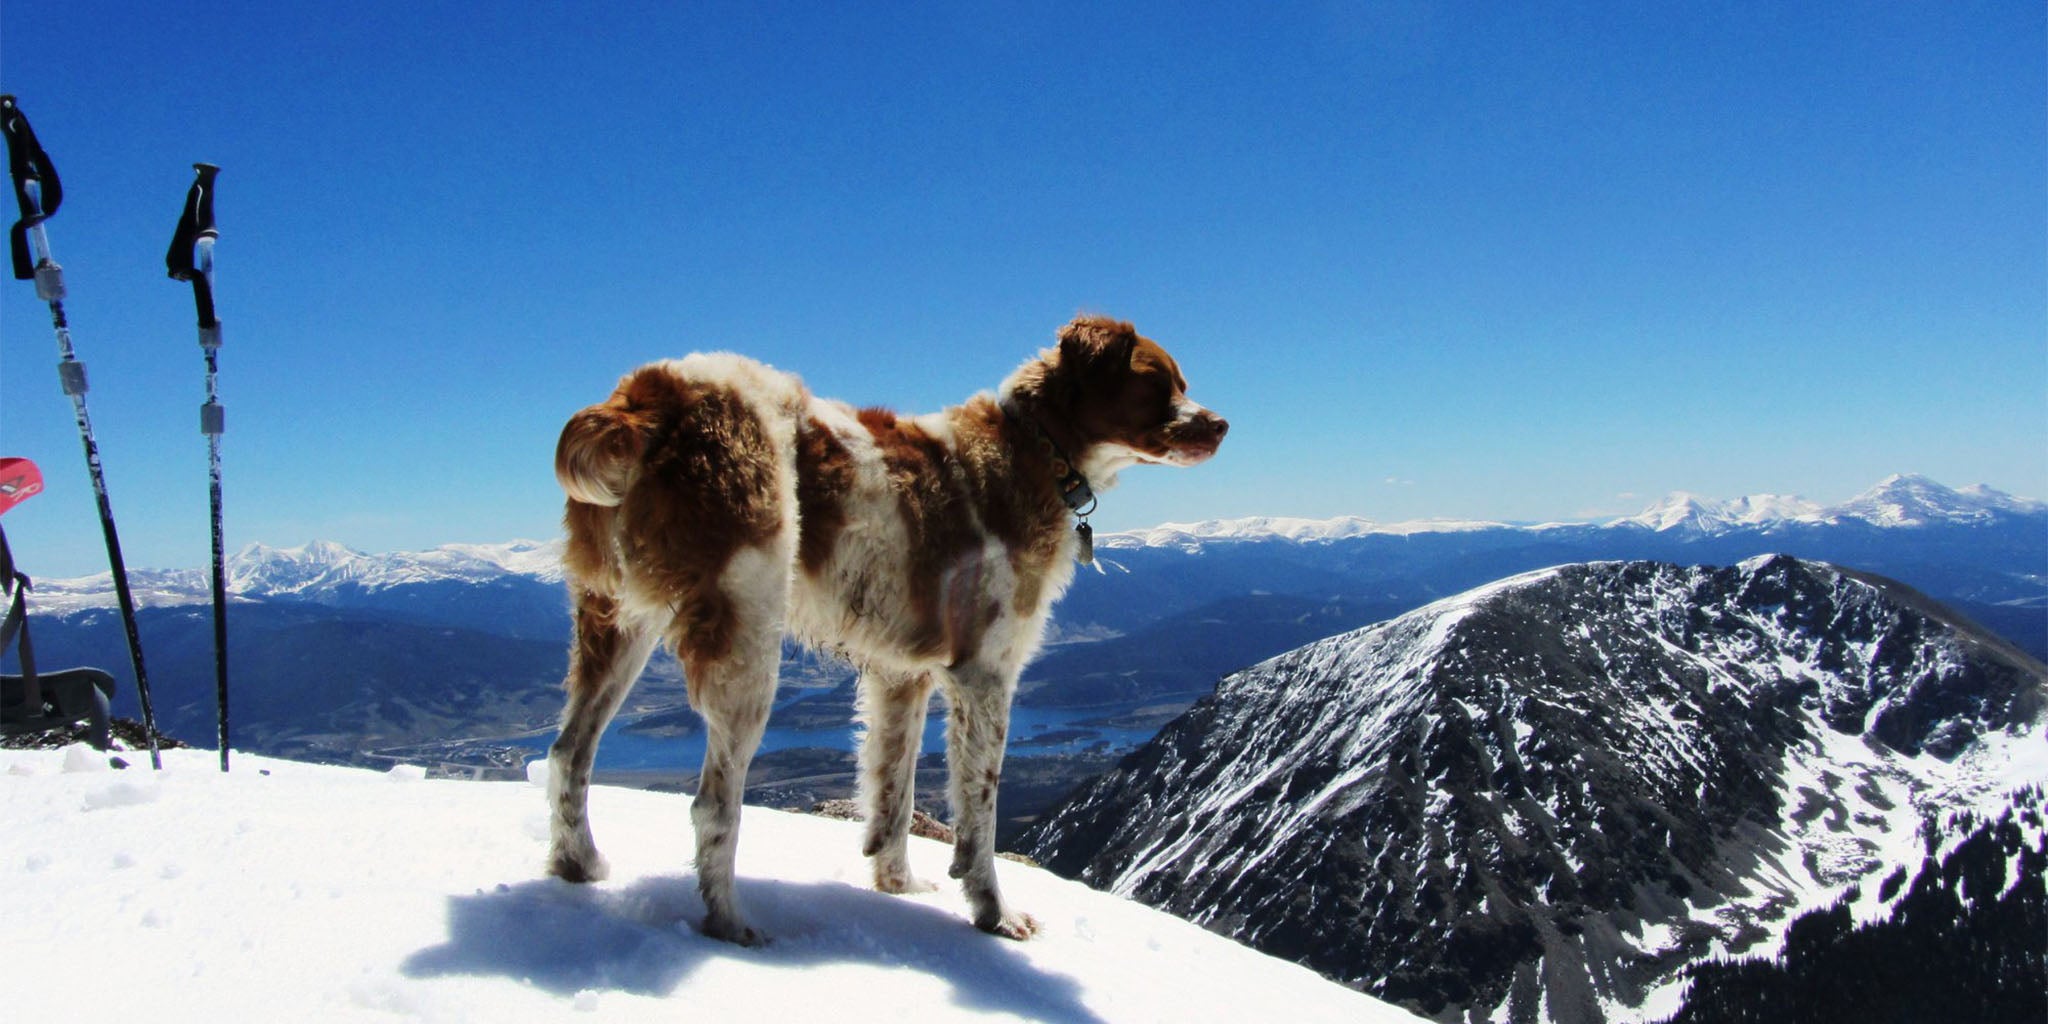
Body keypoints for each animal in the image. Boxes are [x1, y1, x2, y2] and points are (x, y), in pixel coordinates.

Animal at [544, 313, 1220, 942]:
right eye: (1156, 381)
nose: (1221, 425)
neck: (1035, 449)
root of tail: (645, 397)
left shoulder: (901, 675)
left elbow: (894, 794)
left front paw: (897, 886)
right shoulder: (984, 676)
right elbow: (980, 813)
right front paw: (994, 913)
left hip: (615, 622)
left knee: (568, 754)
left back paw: (578, 865)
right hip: (748, 640)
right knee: (714, 804)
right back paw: (731, 923)